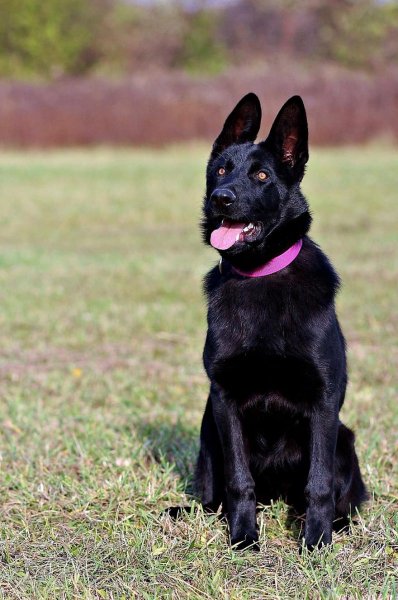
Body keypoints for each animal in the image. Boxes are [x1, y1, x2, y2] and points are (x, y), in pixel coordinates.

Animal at [188, 91, 366, 552]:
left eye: (262, 175)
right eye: (221, 170)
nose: (222, 198)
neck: (260, 274)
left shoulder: (323, 401)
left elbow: (318, 483)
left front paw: (316, 542)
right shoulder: (224, 399)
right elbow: (239, 481)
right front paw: (244, 537)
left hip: (344, 439)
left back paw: (335, 524)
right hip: (208, 436)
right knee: (214, 496)